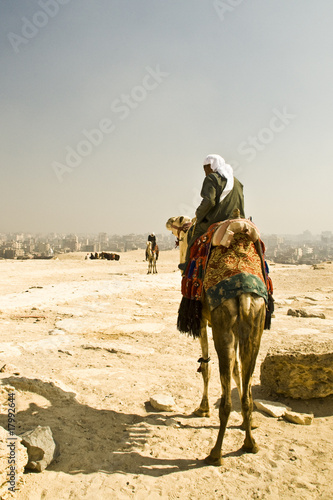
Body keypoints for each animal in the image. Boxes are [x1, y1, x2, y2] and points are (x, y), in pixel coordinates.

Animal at [165, 215, 264, 464]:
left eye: (180, 221)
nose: (169, 221)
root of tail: (244, 294)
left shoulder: (201, 321)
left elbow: (205, 365)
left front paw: (202, 408)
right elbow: (237, 371)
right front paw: (248, 424)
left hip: (223, 325)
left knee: (226, 398)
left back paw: (215, 453)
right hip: (254, 324)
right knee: (247, 390)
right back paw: (250, 443)